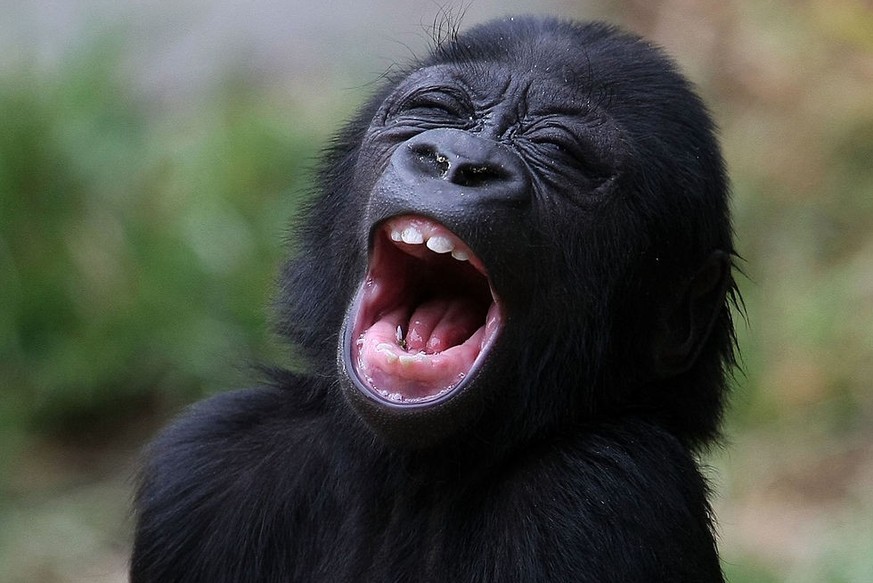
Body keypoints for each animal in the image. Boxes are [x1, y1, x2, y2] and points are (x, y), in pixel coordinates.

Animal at [133, 14, 740, 583]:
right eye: (434, 108)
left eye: (559, 150)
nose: (460, 160)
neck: (408, 482)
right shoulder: (201, 466)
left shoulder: (607, 490)